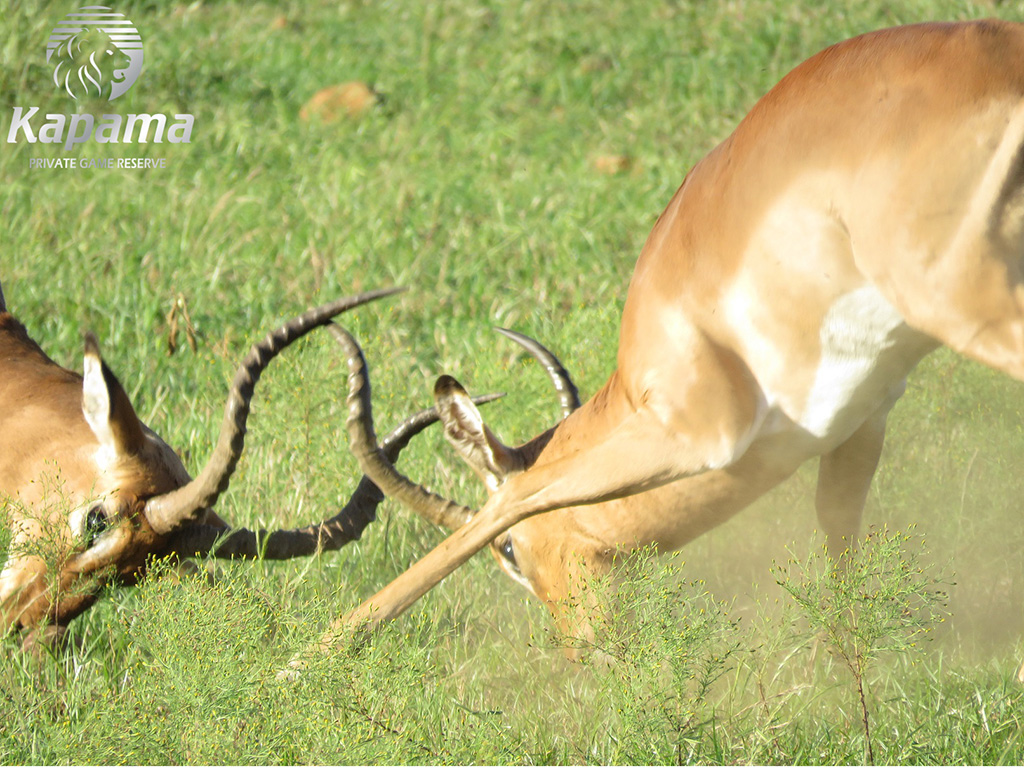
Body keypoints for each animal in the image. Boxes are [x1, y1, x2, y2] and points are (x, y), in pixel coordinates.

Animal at [296, 19, 1024, 675]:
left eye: (511, 555)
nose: (581, 651)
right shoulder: (861, 418)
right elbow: (839, 540)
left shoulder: (696, 430)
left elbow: (522, 493)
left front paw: (305, 660)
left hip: (966, 303)